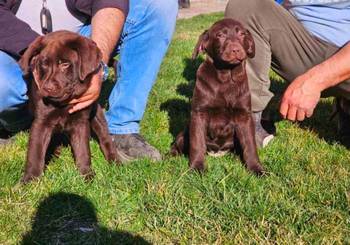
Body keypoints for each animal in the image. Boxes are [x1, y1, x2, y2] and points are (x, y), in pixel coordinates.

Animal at [19, 30, 121, 183]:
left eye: (65, 64)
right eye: (44, 64)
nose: (47, 88)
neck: (63, 104)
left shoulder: (80, 122)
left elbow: (83, 151)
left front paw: (87, 176)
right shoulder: (41, 122)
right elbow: (35, 153)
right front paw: (30, 180)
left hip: (97, 115)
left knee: (105, 137)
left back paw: (116, 162)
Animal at [171, 19, 264, 175]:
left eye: (242, 34)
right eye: (220, 35)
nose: (236, 49)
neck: (226, 79)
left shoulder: (244, 116)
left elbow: (250, 145)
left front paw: (256, 169)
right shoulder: (199, 114)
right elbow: (197, 143)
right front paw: (197, 167)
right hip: (184, 133)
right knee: (178, 143)